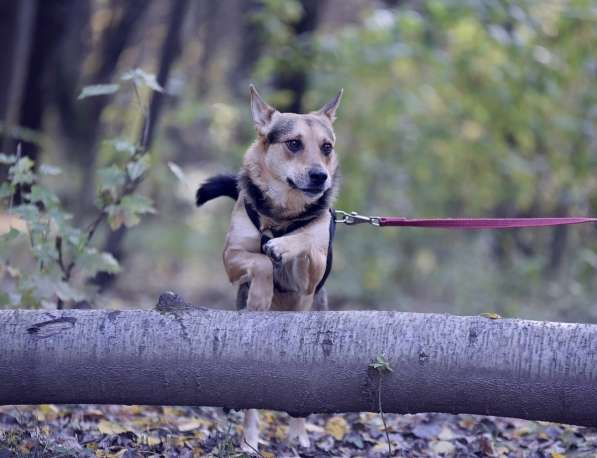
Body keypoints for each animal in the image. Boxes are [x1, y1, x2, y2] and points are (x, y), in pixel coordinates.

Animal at [197, 85, 340, 450]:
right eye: (293, 143)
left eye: (327, 147)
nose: (321, 176)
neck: (282, 215)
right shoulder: (231, 257)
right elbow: (259, 260)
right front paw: (261, 295)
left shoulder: (312, 273)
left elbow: (307, 237)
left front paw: (284, 244)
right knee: (252, 402)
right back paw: (249, 440)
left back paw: (298, 436)